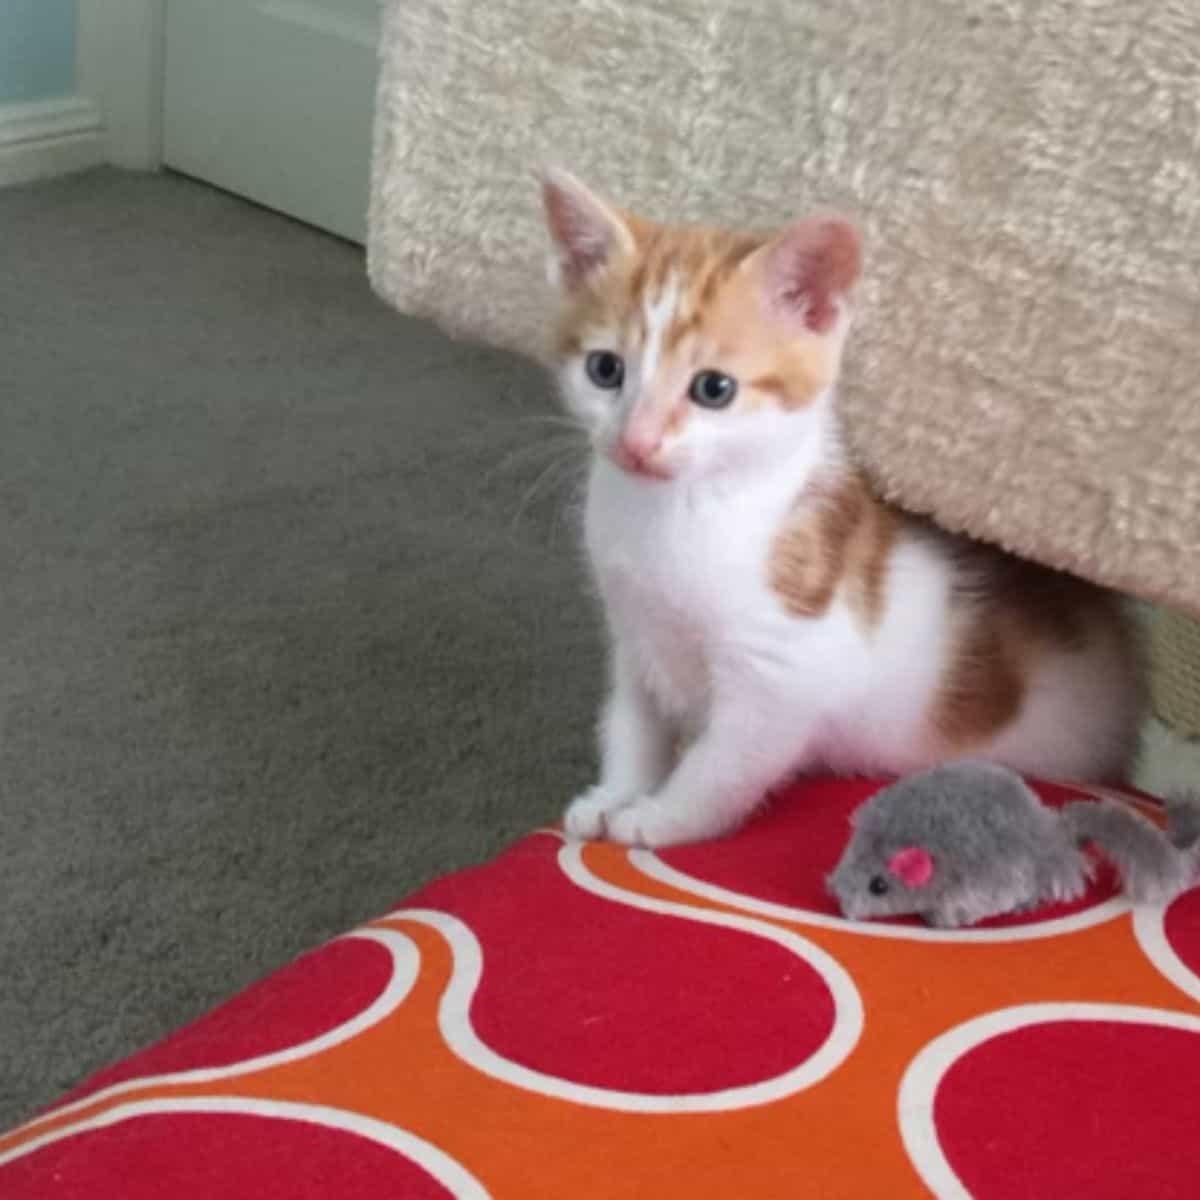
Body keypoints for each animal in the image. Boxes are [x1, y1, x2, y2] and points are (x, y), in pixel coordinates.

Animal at [540, 169, 1137, 849]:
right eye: (604, 369)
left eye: (713, 389)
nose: (636, 443)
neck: (673, 514)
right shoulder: (633, 634)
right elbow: (630, 725)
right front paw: (615, 793)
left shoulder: (783, 674)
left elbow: (721, 764)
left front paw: (658, 818)